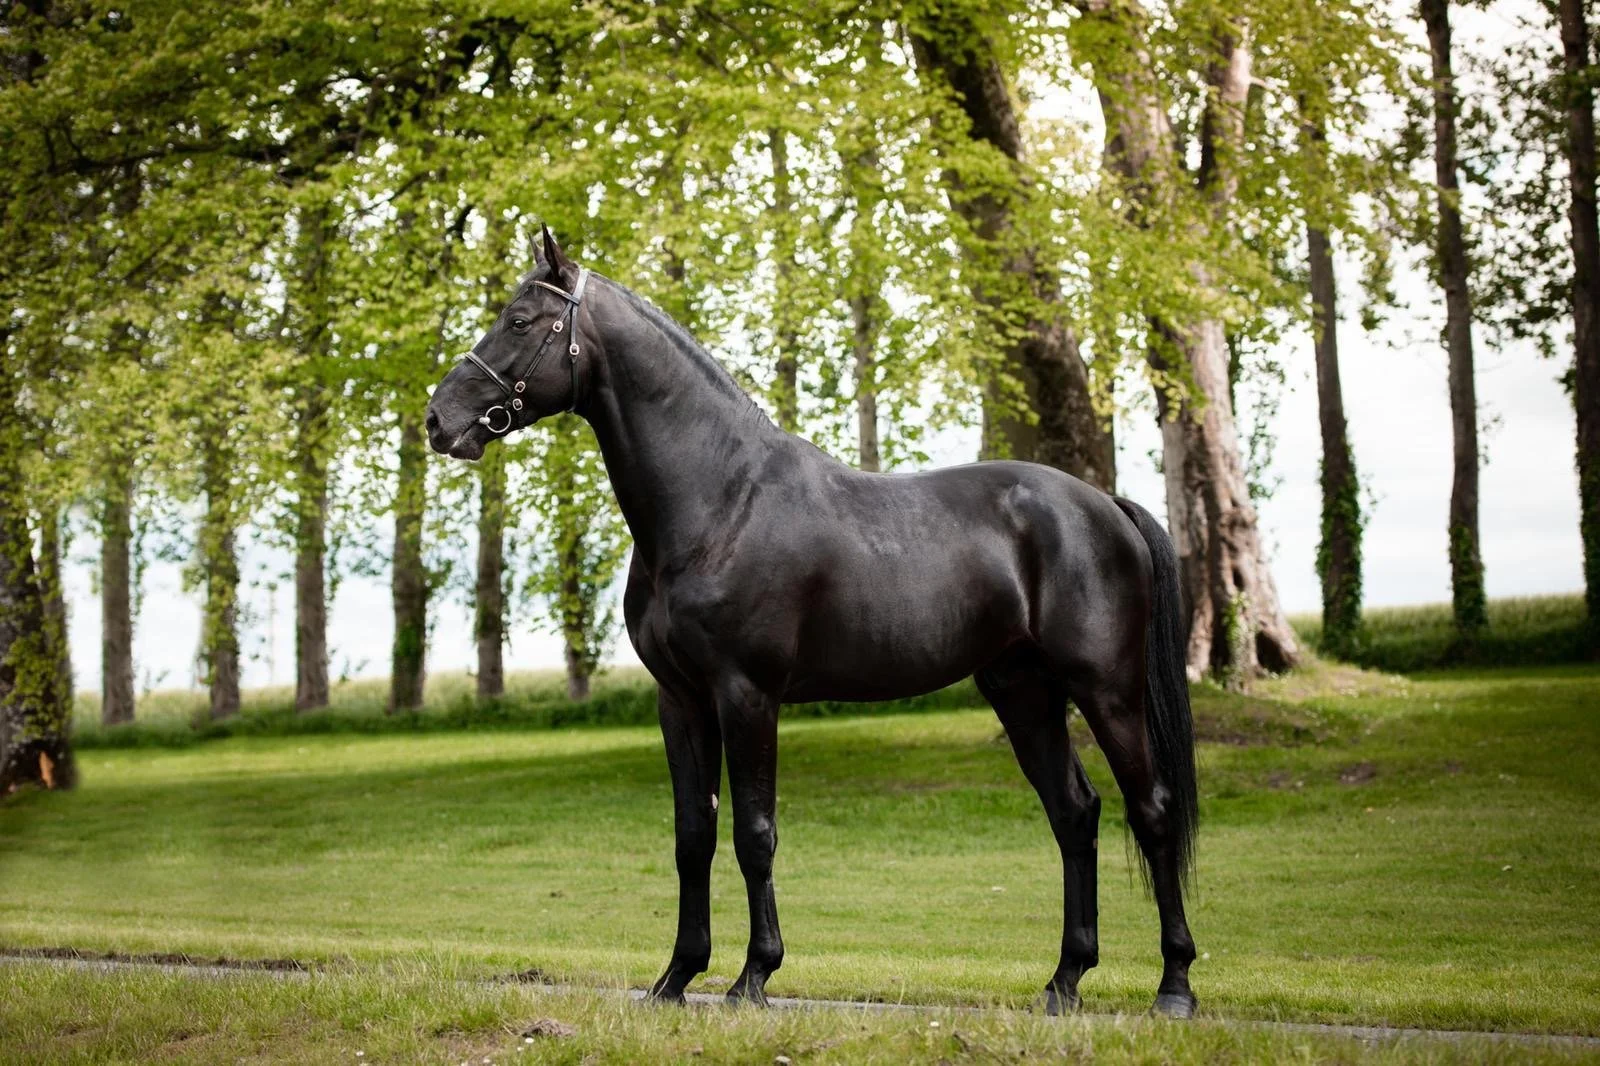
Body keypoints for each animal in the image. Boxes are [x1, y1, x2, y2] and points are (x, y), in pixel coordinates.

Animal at [425, 227, 1200, 1018]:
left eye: (522, 320)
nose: (438, 419)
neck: (719, 501)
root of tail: (1105, 506)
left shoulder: (747, 694)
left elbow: (753, 832)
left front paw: (753, 977)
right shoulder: (681, 701)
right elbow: (692, 835)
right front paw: (676, 978)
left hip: (1106, 690)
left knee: (1152, 811)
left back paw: (1174, 987)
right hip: (1024, 692)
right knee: (1074, 814)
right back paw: (1064, 982)